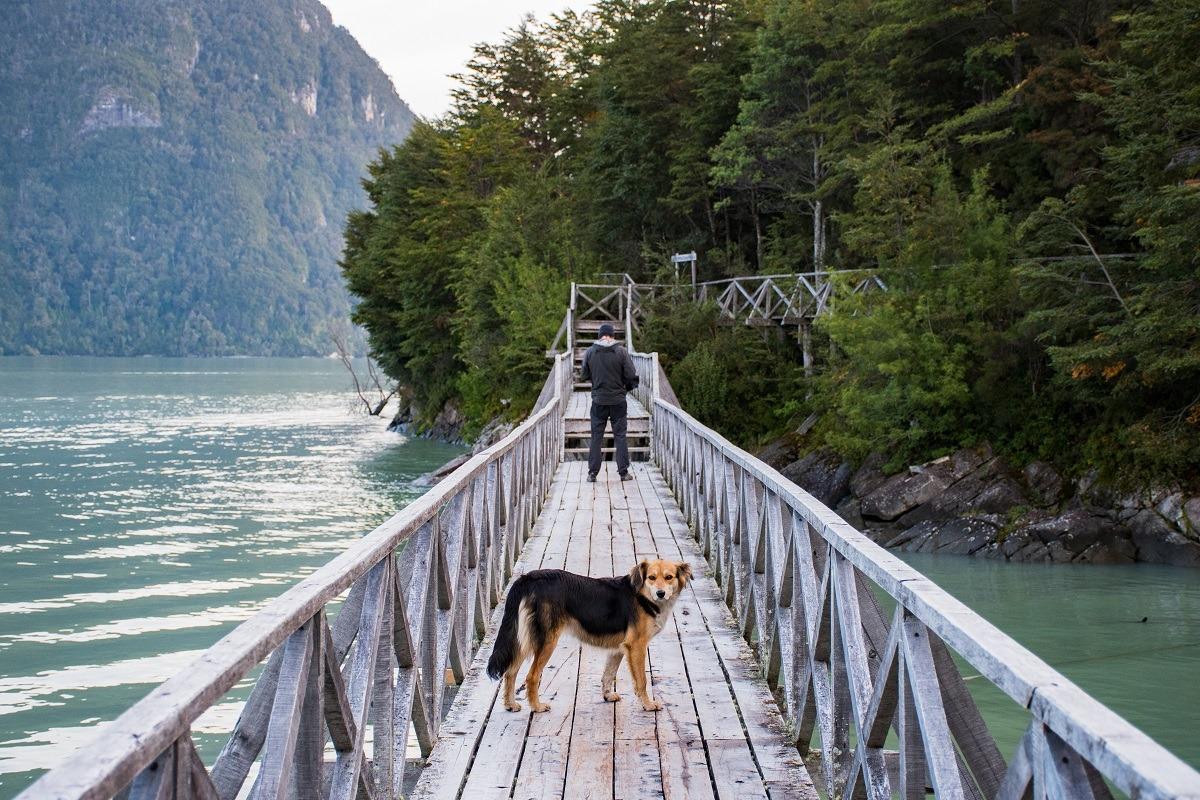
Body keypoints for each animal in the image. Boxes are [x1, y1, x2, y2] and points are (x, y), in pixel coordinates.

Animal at [487, 561, 696, 710]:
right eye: (651, 578)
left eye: (669, 577)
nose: (660, 593)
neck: (642, 596)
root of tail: (529, 577)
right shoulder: (636, 646)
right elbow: (641, 681)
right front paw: (648, 705)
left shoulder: (619, 648)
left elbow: (608, 674)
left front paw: (607, 695)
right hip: (546, 640)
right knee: (531, 676)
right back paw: (537, 707)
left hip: (525, 638)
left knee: (510, 671)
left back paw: (510, 705)